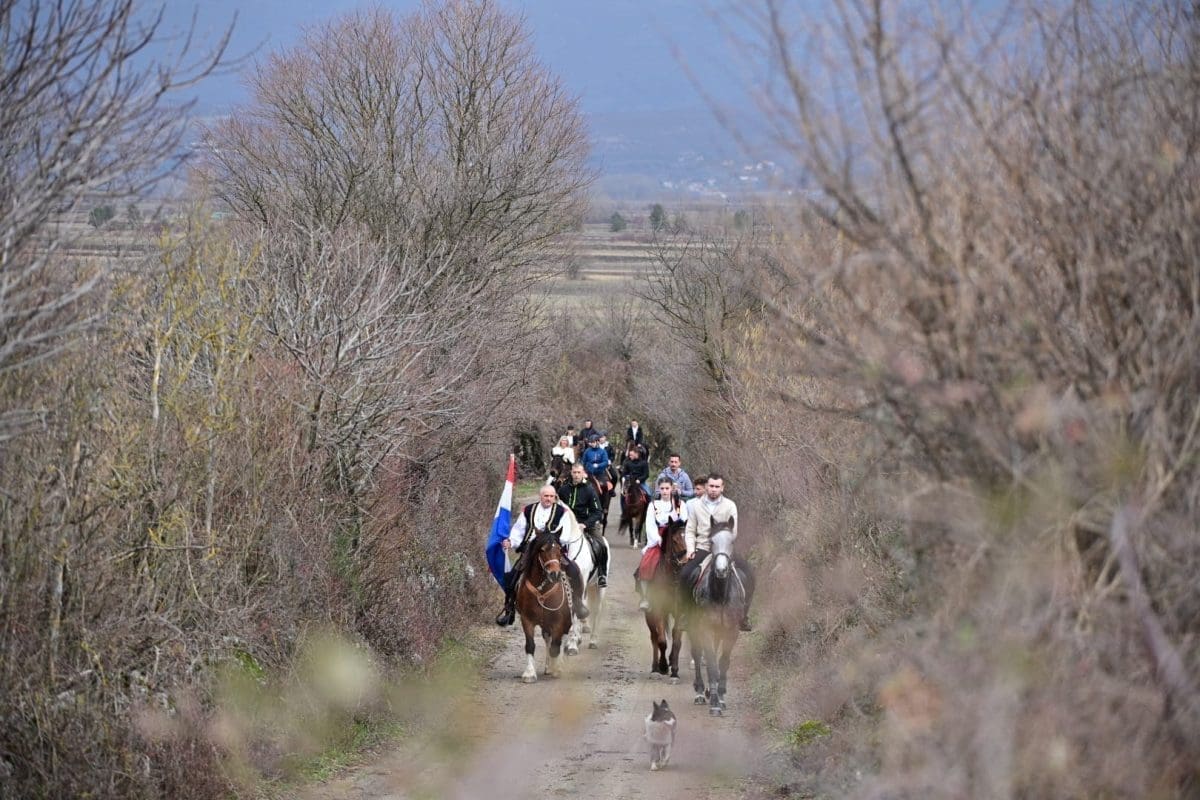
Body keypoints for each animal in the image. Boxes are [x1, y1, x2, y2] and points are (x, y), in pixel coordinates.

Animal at [515, 526, 573, 683]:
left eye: (559, 549)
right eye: (542, 550)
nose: (554, 574)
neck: (542, 590)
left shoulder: (559, 621)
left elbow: (556, 646)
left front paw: (556, 668)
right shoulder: (527, 619)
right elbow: (530, 645)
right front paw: (529, 673)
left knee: (559, 640)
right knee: (547, 639)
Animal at [644, 516, 688, 681]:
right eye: (674, 540)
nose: (685, 561)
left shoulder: (680, 612)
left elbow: (677, 640)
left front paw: (674, 668)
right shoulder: (658, 610)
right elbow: (662, 641)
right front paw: (663, 666)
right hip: (649, 615)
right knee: (654, 637)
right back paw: (655, 667)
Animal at [686, 527, 747, 716]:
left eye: (732, 541)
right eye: (711, 542)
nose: (721, 570)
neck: (720, 594)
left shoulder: (731, 631)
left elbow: (723, 662)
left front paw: (720, 696)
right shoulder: (705, 629)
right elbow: (711, 662)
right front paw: (714, 702)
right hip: (694, 629)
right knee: (697, 655)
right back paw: (700, 692)